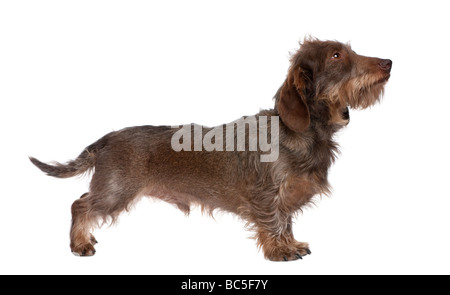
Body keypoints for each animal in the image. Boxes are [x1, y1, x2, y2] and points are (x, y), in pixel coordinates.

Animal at [29, 38, 392, 262]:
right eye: (336, 55)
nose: (388, 62)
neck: (305, 132)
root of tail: (107, 138)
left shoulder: (286, 196)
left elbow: (287, 221)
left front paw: (290, 243)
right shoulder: (266, 195)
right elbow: (274, 221)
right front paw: (279, 250)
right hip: (116, 192)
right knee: (79, 205)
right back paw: (79, 243)